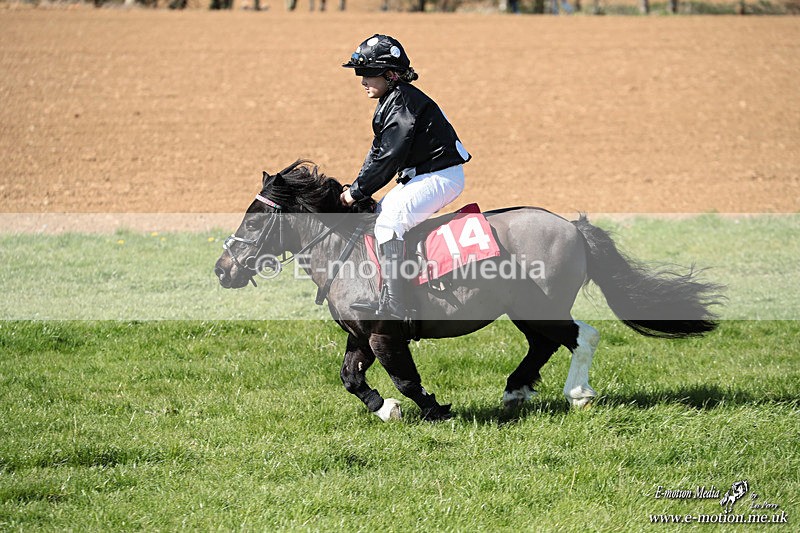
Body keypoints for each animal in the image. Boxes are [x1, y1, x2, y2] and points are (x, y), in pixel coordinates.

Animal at [214, 160, 723, 422]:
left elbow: (406, 379)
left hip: (543, 305)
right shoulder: (360, 335)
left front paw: (433, 408)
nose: (222, 270)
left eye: (254, 220)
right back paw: (516, 391)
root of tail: (572, 227)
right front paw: (385, 409)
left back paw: (578, 393)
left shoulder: (383, 334)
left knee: (582, 336)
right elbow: (351, 378)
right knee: (543, 345)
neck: (345, 250)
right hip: (525, 310)